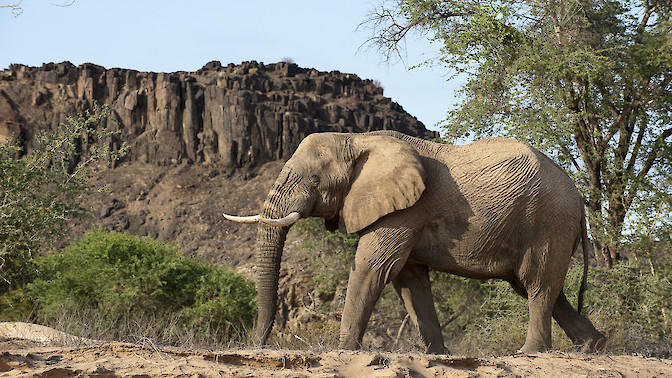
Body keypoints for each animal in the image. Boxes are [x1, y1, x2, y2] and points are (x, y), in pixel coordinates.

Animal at [223, 131, 608, 354]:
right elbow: (409, 280)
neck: (357, 139)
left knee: (538, 284)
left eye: (314, 178)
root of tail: (579, 197)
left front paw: (344, 351)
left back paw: (530, 353)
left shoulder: (407, 209)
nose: (257, 345)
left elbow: (373, 267)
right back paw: (592, 346)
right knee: (541, 288)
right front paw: (438, 356)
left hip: (549, 221)